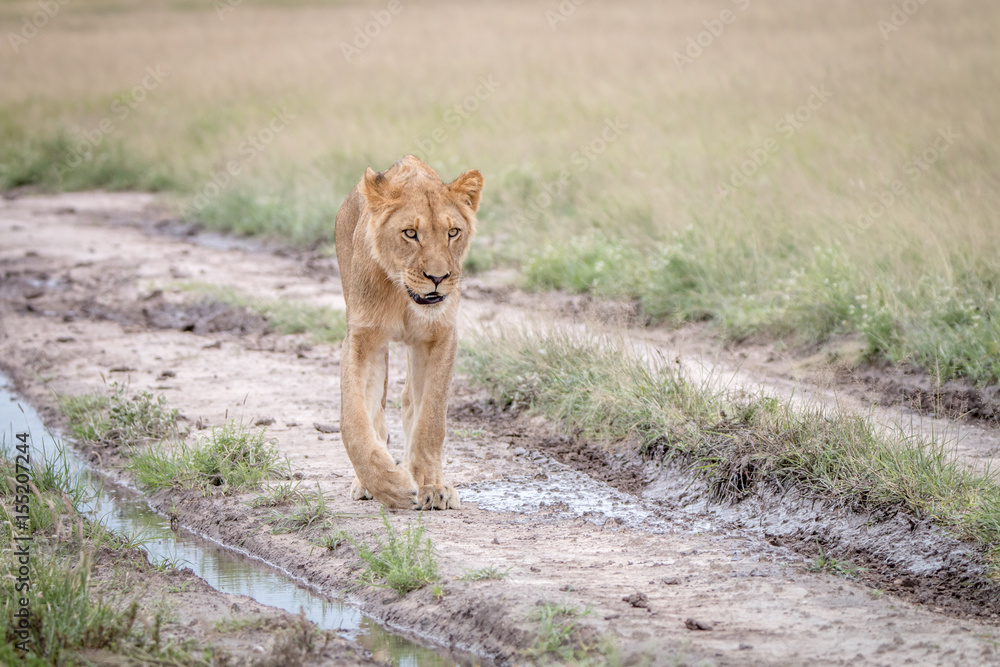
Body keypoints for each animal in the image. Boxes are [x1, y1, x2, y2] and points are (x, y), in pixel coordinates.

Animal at [334, 155, 483, 510]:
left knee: (410, 402)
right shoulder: (362, 338)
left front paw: (430, 485)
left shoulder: (440, 337)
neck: (403, 296)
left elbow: (430, 418)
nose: (438, 278)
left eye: (453, 232)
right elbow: (354, 419)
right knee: (376, 410)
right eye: (411, 233)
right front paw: (388, 484)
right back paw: (368, 483)